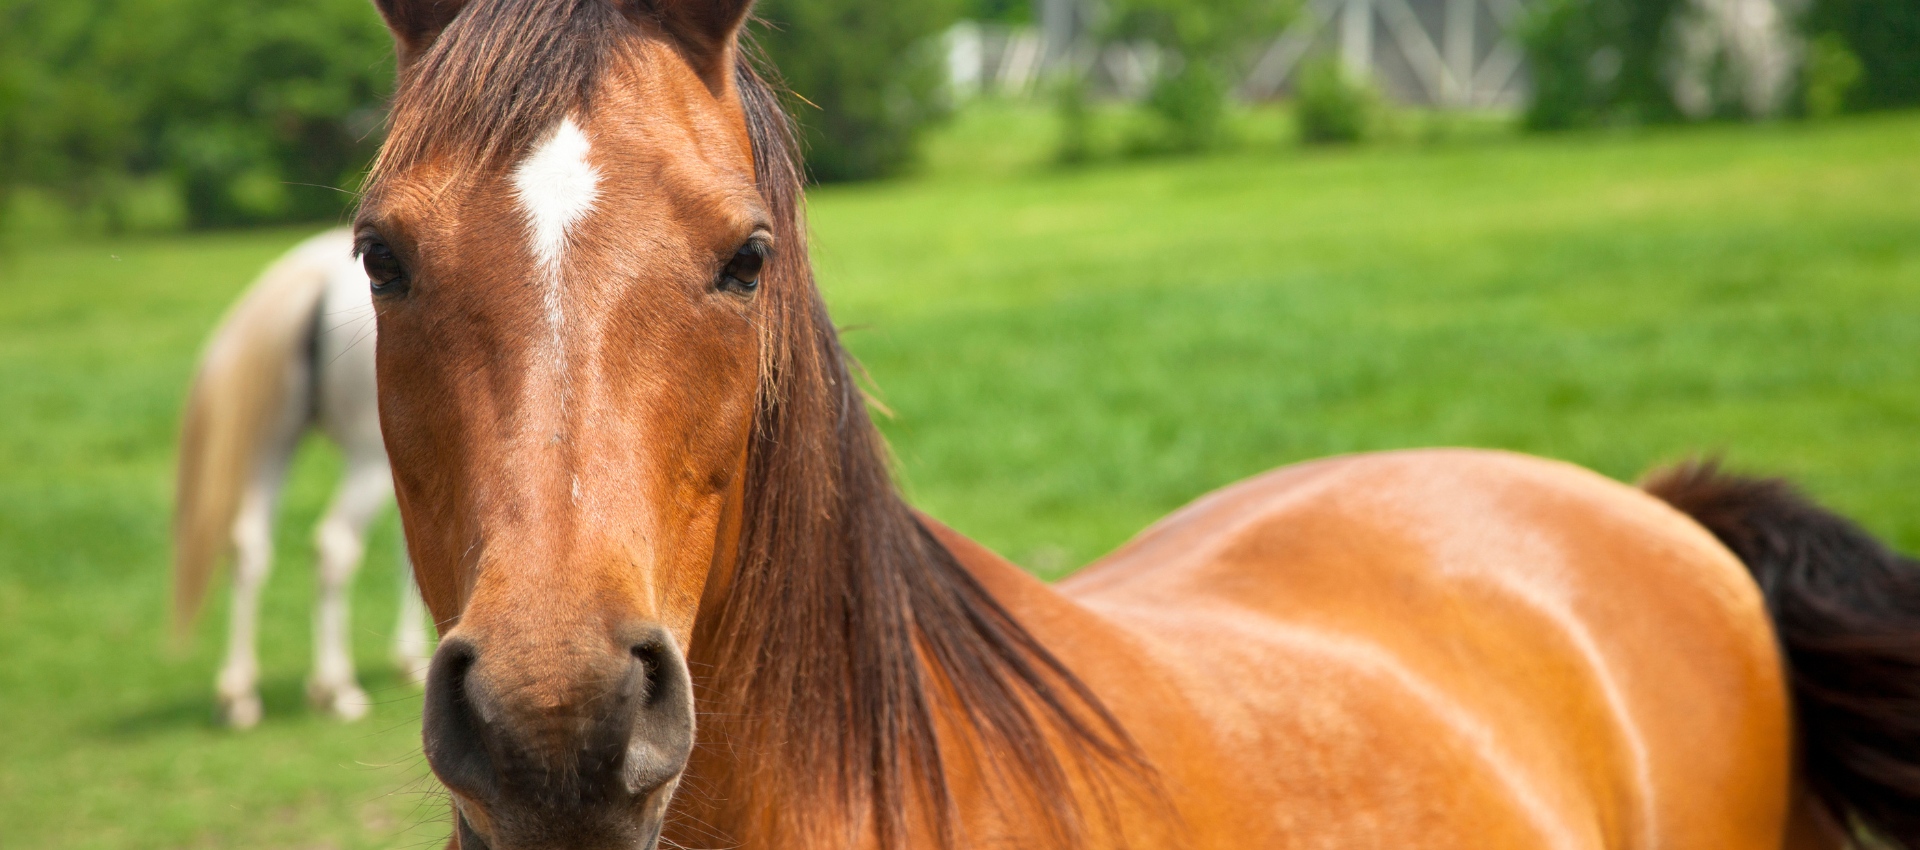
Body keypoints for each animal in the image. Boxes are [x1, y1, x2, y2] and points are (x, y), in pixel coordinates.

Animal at [173, 229, 432, 729]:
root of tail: (314, 275)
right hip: (367, 456)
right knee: (334, 546)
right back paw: (336, 688)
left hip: (274, 444)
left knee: (249, 545)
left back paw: (239, 695)